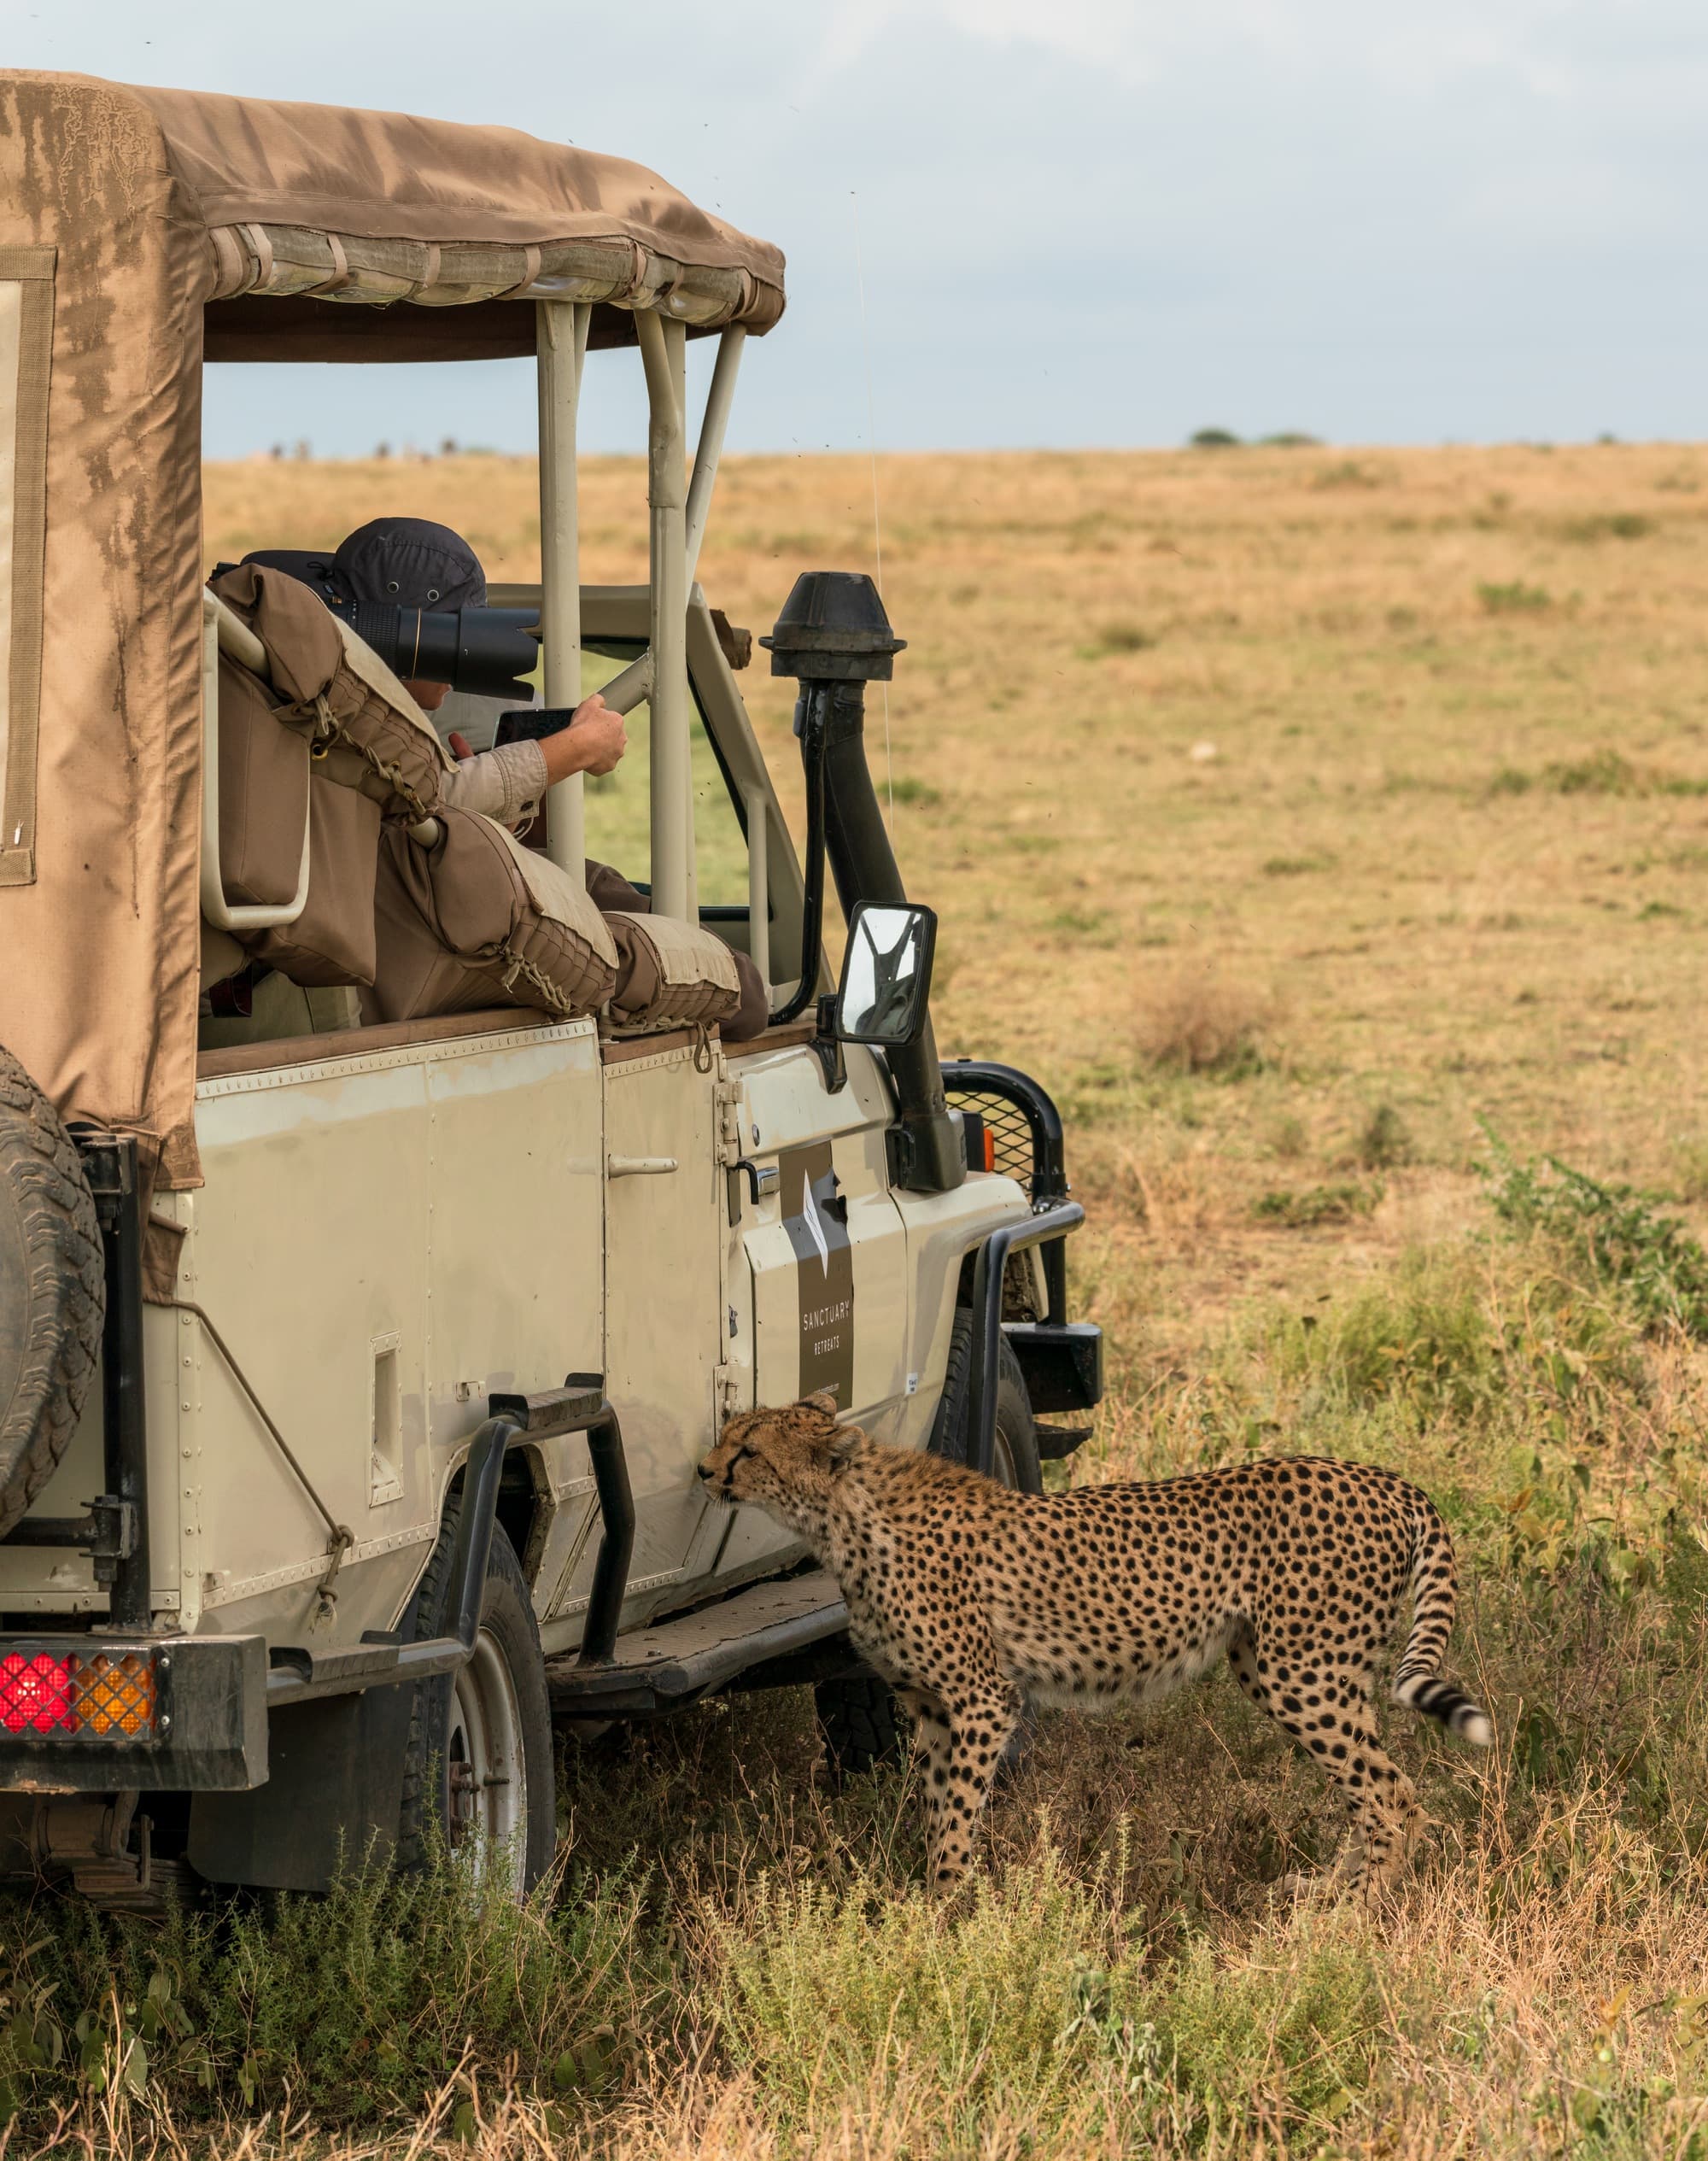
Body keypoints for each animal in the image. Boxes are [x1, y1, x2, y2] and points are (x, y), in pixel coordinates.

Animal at [698, 1393, 1492, 1900]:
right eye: (731, 1434)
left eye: (748, 1448)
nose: (703, 1471)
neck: (843, 1520)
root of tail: (1382, 1476)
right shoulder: (927, 1706)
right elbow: (934, 1807)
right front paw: (927, 1899)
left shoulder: (984, 1699)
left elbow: (955, 1815)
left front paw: (945, 1914)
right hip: (1288, 1668)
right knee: (1371, 1791)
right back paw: (1329, 1889)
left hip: (1305, 1673)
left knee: (1394, 1796)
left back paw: (1354, 1917)